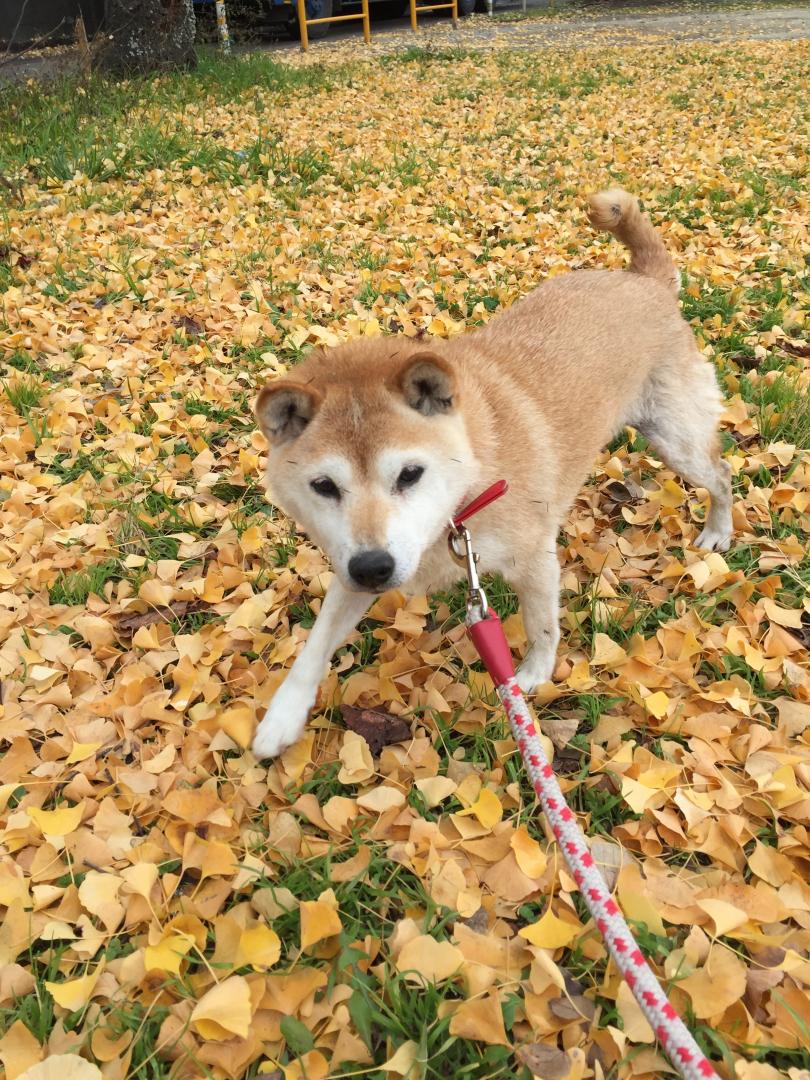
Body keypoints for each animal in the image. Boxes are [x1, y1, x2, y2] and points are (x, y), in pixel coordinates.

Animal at [253, 187, 734, 760]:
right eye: (324, 486)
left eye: (410, 474)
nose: (374, 568)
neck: (471, 484)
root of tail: (645, 280)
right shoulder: (364, 562)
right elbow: (315, 643)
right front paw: (281, 716)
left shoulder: (533, 559)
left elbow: (542, 626)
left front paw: (530, 679)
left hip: (675, 439)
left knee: (723, 472)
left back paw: (718, 530)